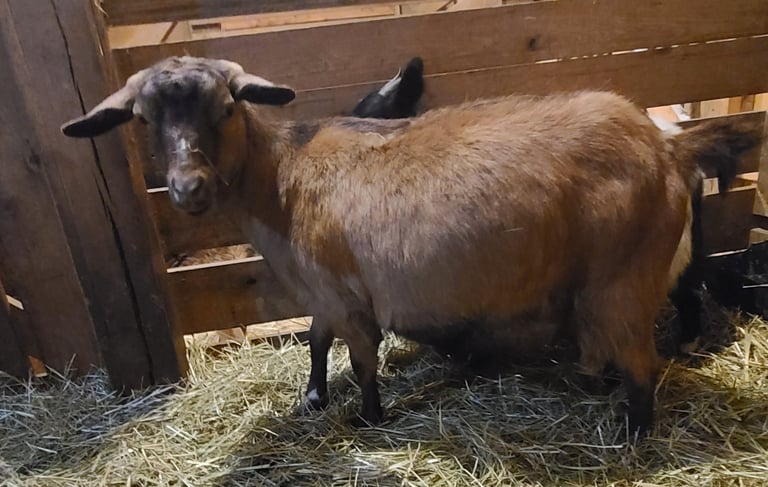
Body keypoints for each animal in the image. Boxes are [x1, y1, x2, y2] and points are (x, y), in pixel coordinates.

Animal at [61, 56, 760, 436]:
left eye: (228, 108)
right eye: (144, 120)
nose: (188, 187)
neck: (283, 176)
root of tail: (671, 147)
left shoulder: (347, 295)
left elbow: (363, 359)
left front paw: (367, 418)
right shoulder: (327, 289)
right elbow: (315, 341)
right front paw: (313, 397)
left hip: (626, 278)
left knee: (643, 364)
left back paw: (631, 433)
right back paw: (592, 384)